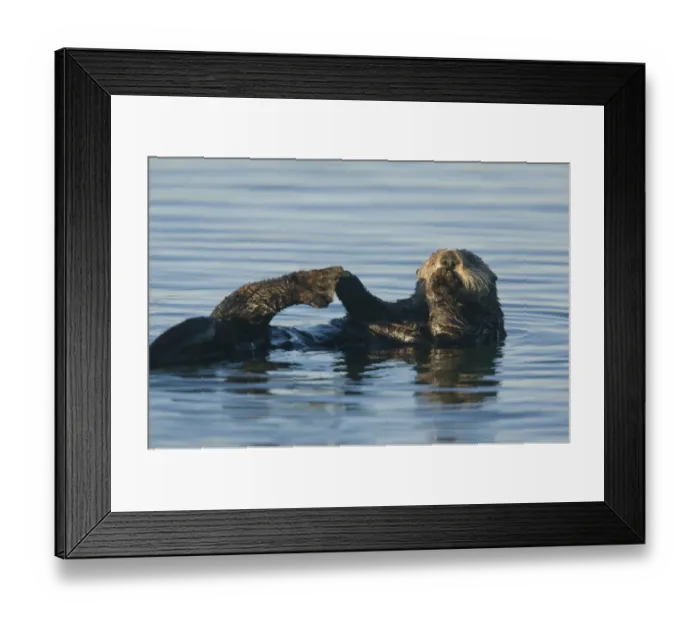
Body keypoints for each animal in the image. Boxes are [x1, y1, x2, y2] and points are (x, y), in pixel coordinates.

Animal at [149, 249, 505, 369]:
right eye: (432, 257)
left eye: (472, 259)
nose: (448, 260)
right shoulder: (399, 308)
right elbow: (375, 309)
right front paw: (350, 283)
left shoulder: (471, 332)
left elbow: (447, 323)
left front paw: (444, 286)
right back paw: (332, 278)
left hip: (241, 323)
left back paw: (320, 284)